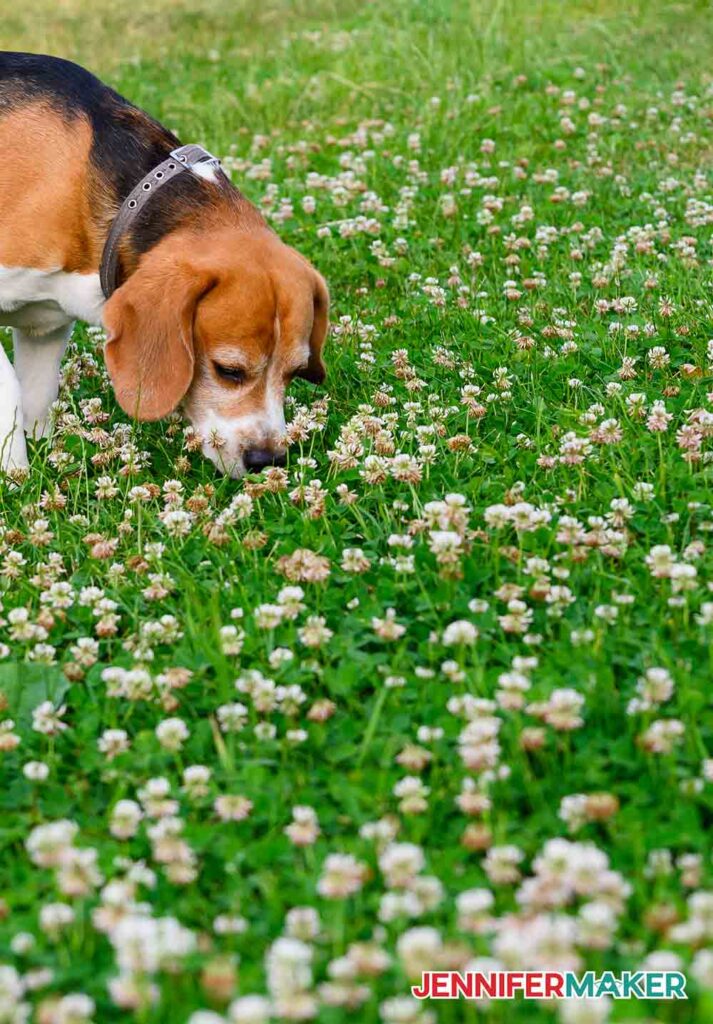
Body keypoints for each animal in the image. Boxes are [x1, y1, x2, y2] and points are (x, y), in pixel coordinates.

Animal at [0, 51, 327, 475]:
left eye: (294, 373)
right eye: (229, 371)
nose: (267, 460)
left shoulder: (46, 325)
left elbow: (37, 397)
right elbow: (10, 392)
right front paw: (16, 476)